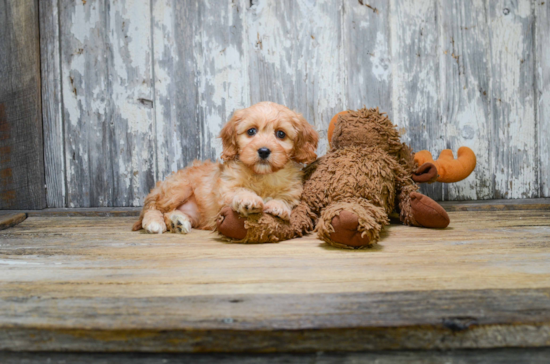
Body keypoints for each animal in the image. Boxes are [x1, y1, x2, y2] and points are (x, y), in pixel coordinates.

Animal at [132, 101, 320, 235]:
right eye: (251, 131)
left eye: (281, 134)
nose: (264, 151)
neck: (263, 174)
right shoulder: (226, 188)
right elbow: (239, 191)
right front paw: (248, 200)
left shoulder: (293, 192)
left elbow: (285, 199)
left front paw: (278, 206)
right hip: (177, 189)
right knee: (153, 207)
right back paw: (154, 222)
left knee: (170, 212)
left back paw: (177, 222)